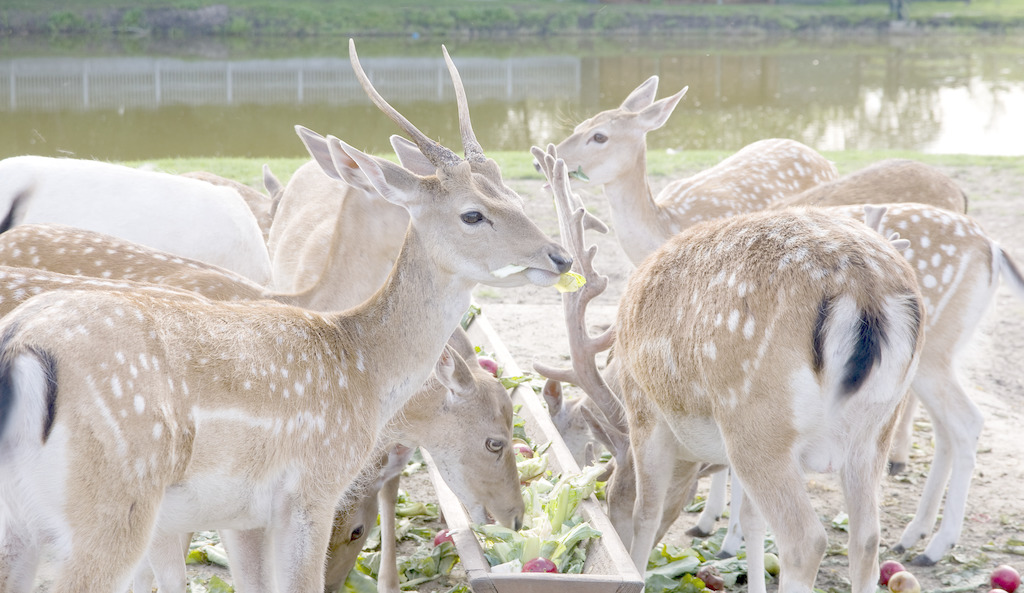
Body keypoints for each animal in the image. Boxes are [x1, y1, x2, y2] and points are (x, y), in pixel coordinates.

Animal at [532, 143, 925, 593]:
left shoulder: (645, 413)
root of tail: (864, 292)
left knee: (805, 541)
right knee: (867, 539)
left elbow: (646, 512)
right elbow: (751, 520)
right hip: (872, 433)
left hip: (756, 423)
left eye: (609, 495)